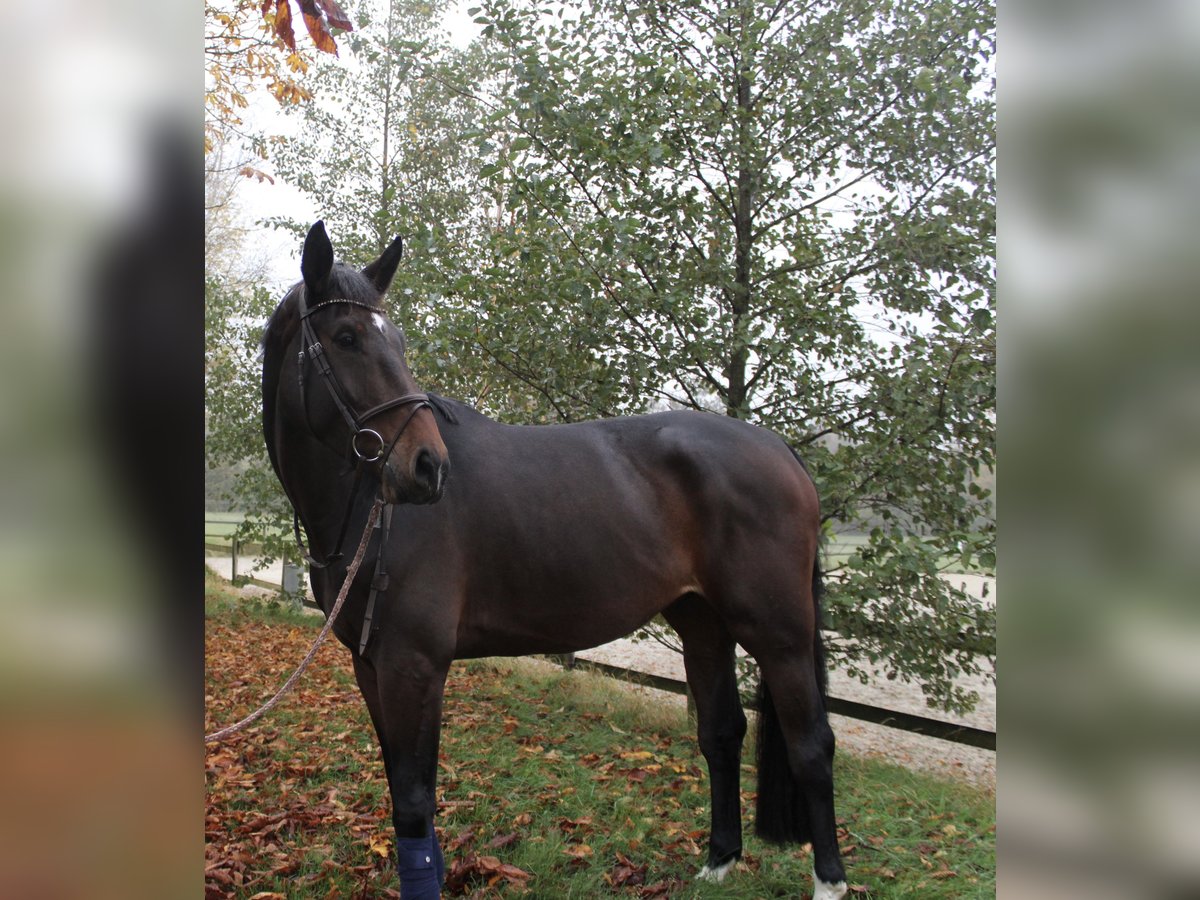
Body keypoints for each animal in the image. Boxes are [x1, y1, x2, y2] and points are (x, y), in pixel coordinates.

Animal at [258, 224, 849, 900]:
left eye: (397, 341)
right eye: (347, 337)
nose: (428, 468)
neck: (368, 508)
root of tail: (777, 447)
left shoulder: (415, 666)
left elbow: (413, 800)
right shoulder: (370, 665)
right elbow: (404, 792)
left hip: (779, 633)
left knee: (812, 746)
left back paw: (828, 881)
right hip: (704, 624)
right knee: (722, 734)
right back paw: (718, 862)